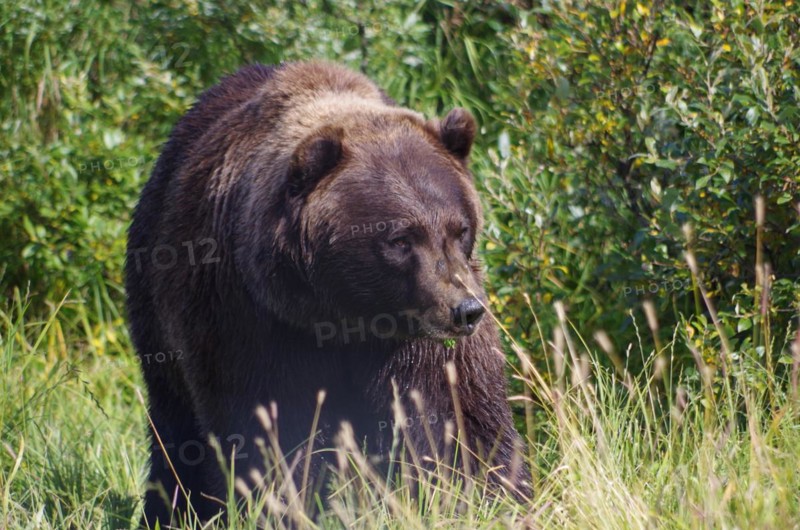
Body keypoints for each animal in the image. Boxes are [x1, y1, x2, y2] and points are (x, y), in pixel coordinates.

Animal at [125, 61, 529, 527]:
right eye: (400, 238)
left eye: (459, 229)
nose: (464, 311)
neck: (345, 313)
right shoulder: (253, 318)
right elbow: (271, 431)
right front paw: (280, 505)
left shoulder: (416, 336)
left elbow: (455, 412)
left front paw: (491, 495)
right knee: (175, 426)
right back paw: (170, 509)